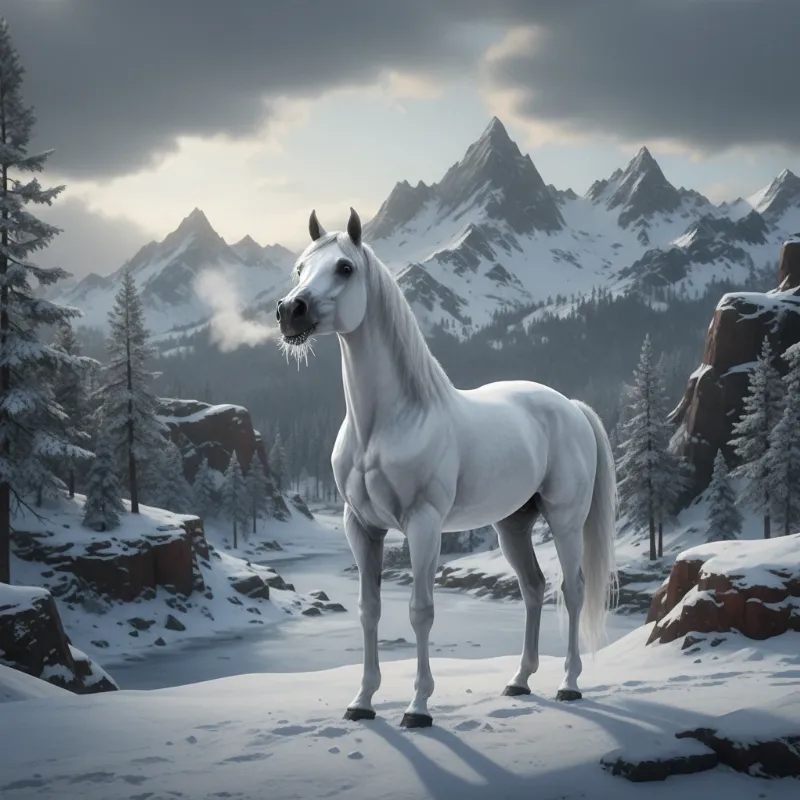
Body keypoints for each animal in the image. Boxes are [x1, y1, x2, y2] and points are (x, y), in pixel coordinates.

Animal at [276, 207, 619, 729]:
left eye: (345, 268)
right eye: (300, 268)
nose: (289, 311)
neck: (389, 422)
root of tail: (571, 407)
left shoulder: (423, 525)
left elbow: (421, 610)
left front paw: (418, 708)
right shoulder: (362, 527)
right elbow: (369, 609)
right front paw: (362, 702)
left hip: (565, 520)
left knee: (572, 589)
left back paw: (569, 684)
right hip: (512, 525)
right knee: (533, 587)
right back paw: (520, 681)